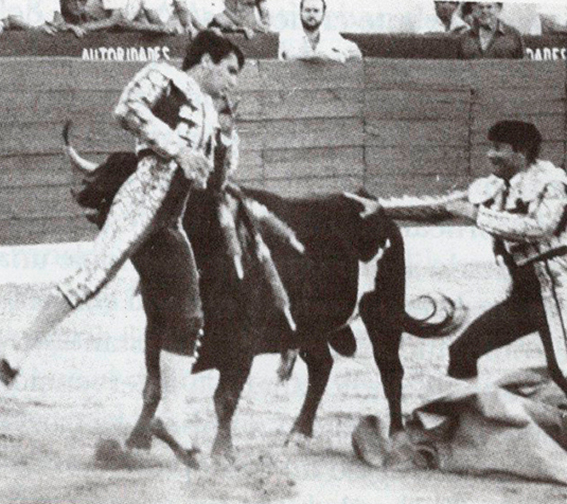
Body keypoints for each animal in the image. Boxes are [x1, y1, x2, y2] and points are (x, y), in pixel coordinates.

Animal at [65, 127, 462, 464]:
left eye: (138, 174)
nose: (83, 190)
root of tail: (374, 207)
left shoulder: (242, 344)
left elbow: (224, 398)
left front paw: (222, 454)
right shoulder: (157, 329)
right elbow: (154, 387)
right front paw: (135, 443)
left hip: (383, 309)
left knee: (390, 368)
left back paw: (397, 437)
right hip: (308, 326)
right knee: (322, 367)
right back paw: (298, 434)